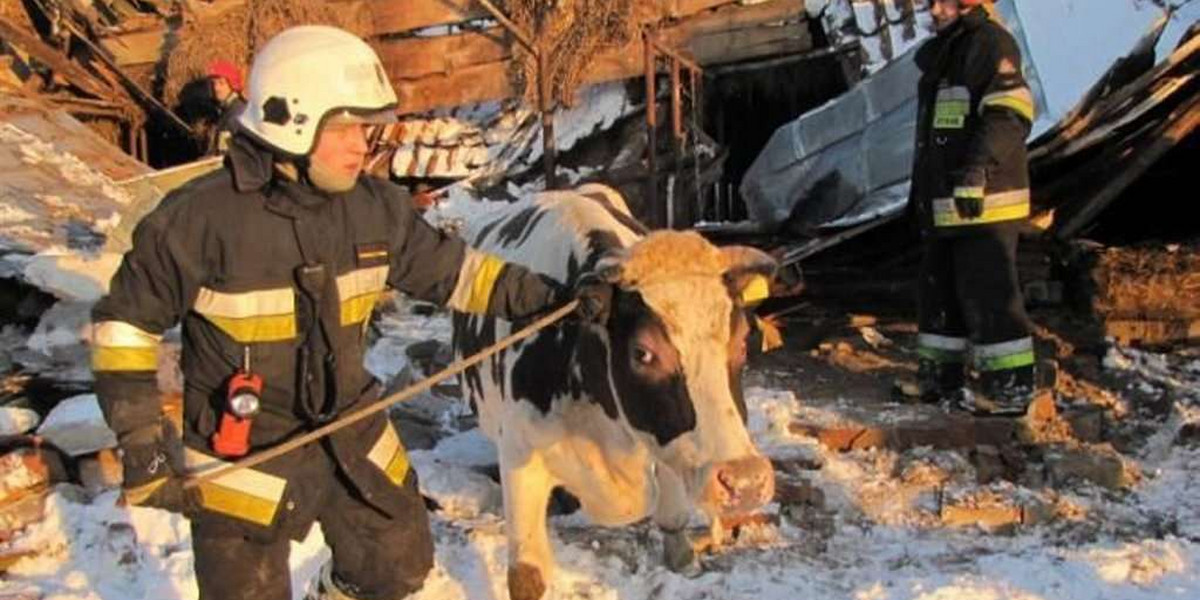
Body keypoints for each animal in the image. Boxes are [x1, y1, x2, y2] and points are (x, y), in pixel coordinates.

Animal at [451, 182, 777, 600]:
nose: (746, 481)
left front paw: (684, 559)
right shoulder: (520, 458)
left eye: (741, 344)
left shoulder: (667, 443)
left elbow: (673, 514)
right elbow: (527, 575)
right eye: (643, 353)